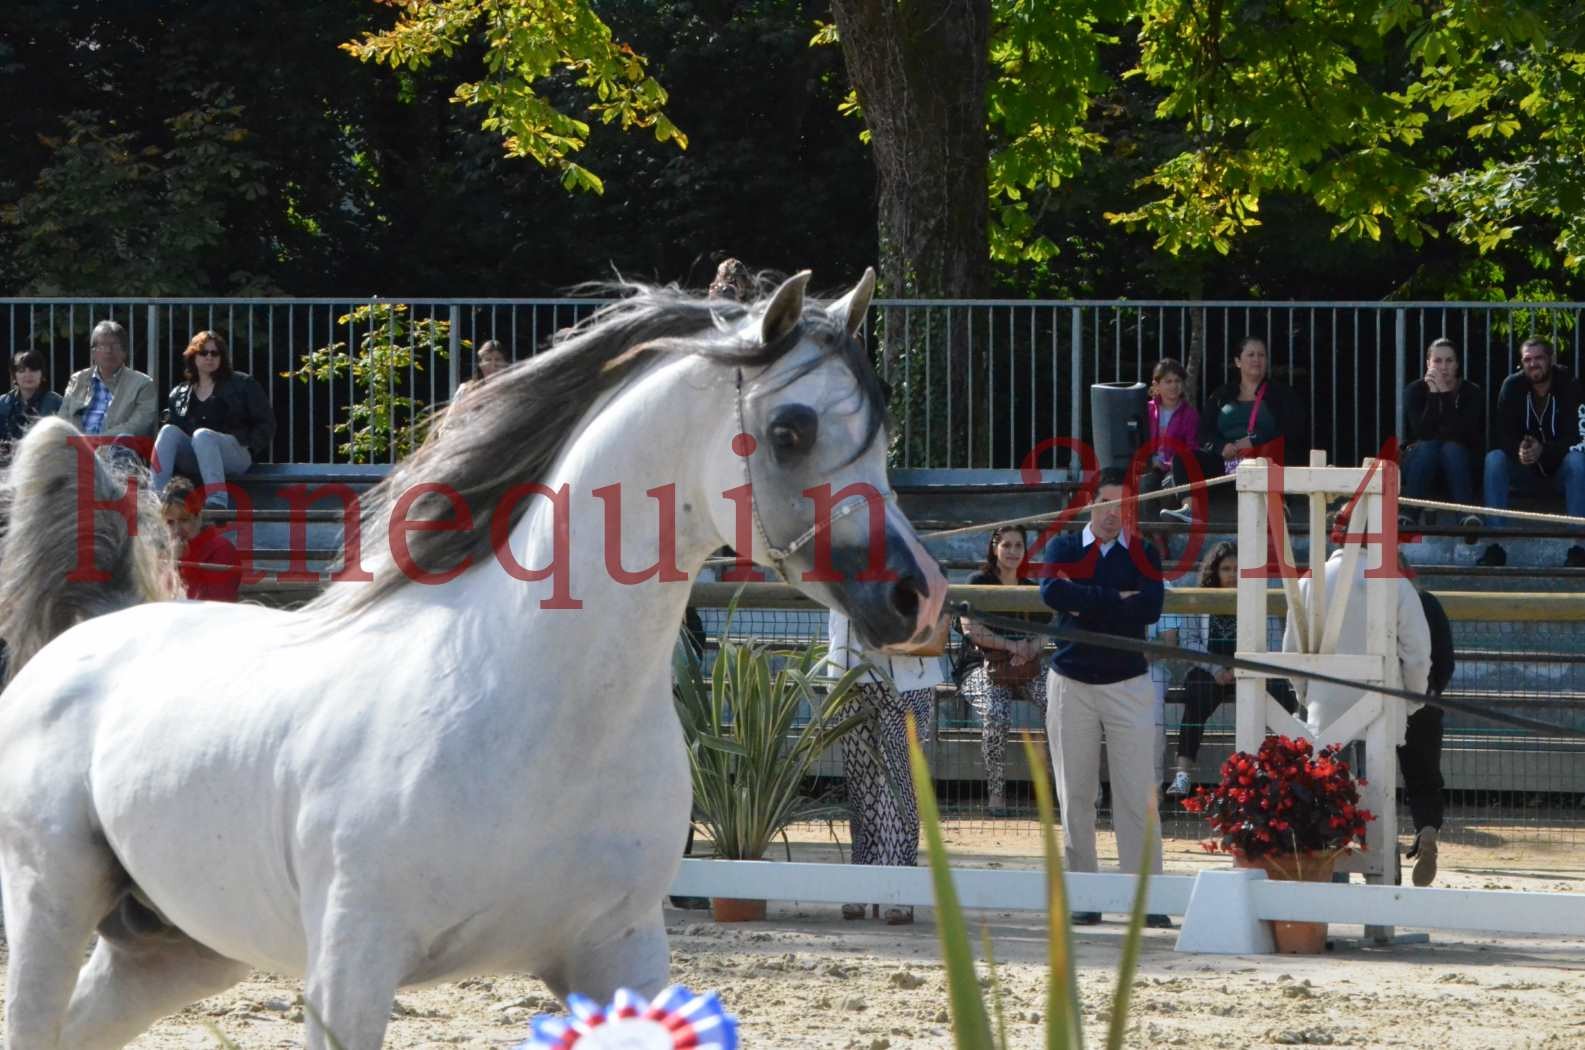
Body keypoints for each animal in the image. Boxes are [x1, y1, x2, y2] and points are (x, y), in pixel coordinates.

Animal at [0, 272, 938, 1050]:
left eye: (882, 423)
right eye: (790, 429)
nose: (916, 598)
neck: (530, 704)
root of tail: (98, 627)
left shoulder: (619, 952)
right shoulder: (351, 966)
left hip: (178, 946)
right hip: (53, 906)